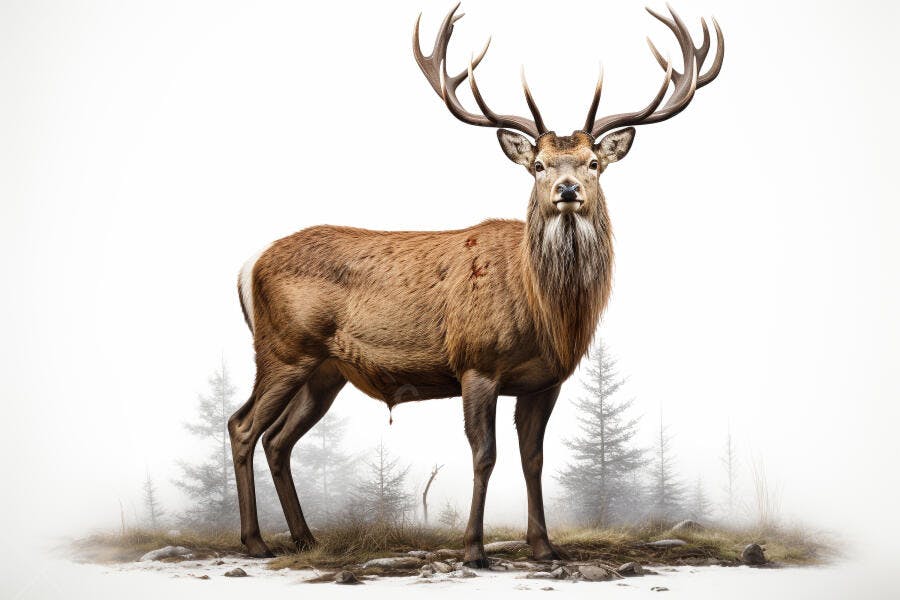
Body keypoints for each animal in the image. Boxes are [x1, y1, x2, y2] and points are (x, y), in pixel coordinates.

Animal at [228, 3, 723, 565]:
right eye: (537, 165)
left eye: (594, 163)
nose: (567, 189)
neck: (547, 312)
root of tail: (248, 265)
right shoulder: (476, 362)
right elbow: (484, 455)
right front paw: (473, 548)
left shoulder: (545, 380)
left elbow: (534, 458)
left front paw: (544, 546)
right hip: (284, 348)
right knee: (243, 426)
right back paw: (255, 541)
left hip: (325, 372)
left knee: (279, 440)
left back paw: (305, 538)